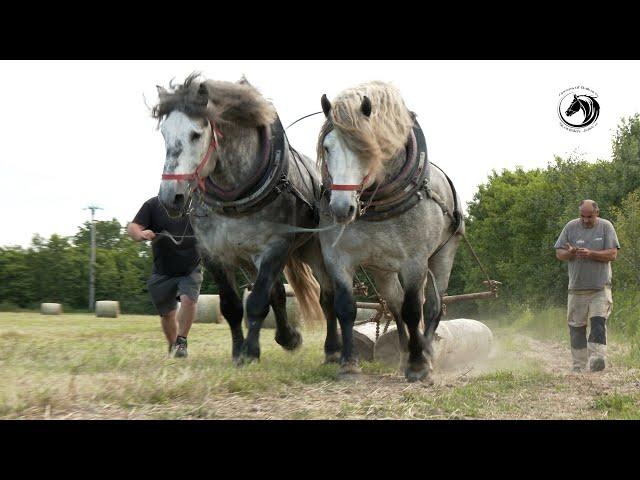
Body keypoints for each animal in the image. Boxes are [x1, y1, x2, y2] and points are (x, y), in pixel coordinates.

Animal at [152, 75, 328, 366]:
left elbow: (256, 302)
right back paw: (287, 337)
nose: (170, 198)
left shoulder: (275, 247)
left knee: (326, 295)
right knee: (278, 294)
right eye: (164, 134)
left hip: (309, 251)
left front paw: (251, 352)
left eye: (196, 134)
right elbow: (232, 306)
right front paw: (238, 351)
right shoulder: (214, 254)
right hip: (250, 261)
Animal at [316, 81, 462, 382]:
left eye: (366, 146)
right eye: (327, 147)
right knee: (394, 303)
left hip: (443, 255)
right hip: (382, 269)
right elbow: (346, 308)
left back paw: (426, 352)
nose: (341, 208)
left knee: (431, 306)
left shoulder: (415, 262)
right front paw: (348, 363)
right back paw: (405, 351)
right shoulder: (338, 259)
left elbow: (413, 310)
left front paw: (419, 365)